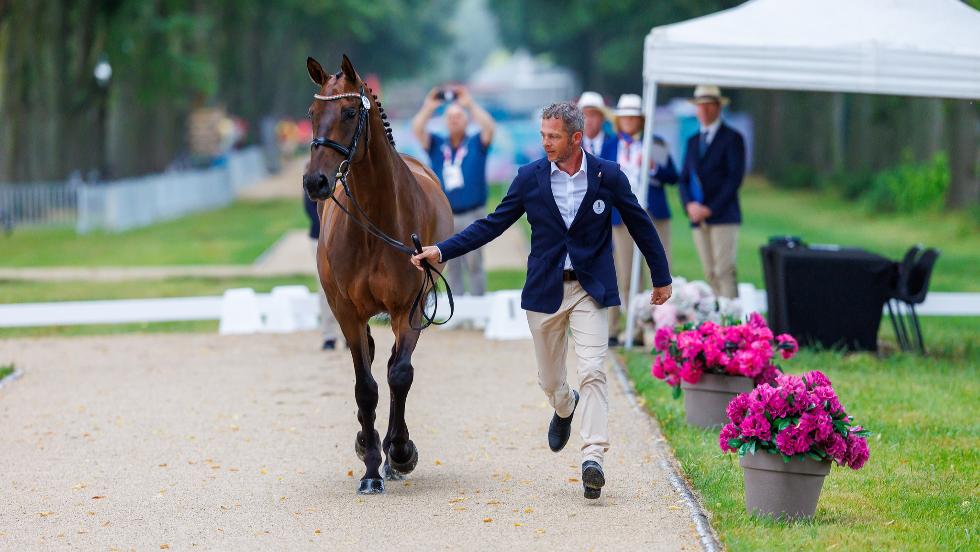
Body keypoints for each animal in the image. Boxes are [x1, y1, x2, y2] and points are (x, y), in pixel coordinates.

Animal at [300, 55, 454, 496]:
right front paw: (370, 468)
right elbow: (365, 387)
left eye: (350, 113)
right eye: (311, 113)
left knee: (392, 367)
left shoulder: (411, 308)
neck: (374, 223)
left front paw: (399, 452)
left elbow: (399, 375)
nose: (315, 181)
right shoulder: (347, 312)